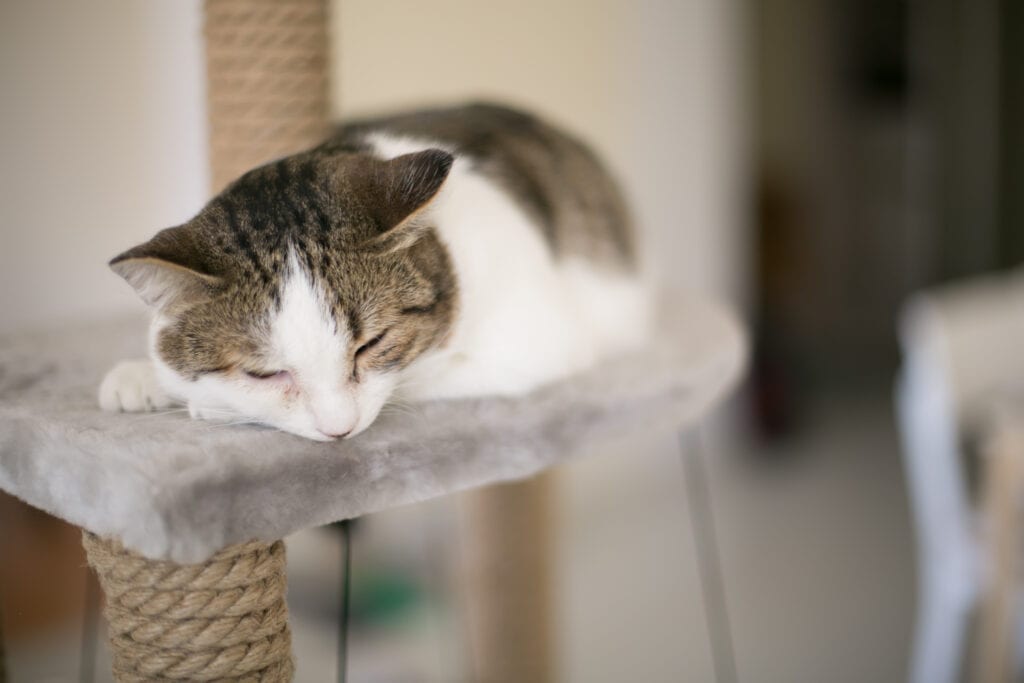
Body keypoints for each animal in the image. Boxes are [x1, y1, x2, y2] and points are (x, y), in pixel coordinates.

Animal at [99, 103, 651, 440]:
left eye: (372, 344)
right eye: (266, 372)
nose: (337, 430)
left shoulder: (538, 340)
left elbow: (414, 378)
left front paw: (207, 403)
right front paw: (143, 375)